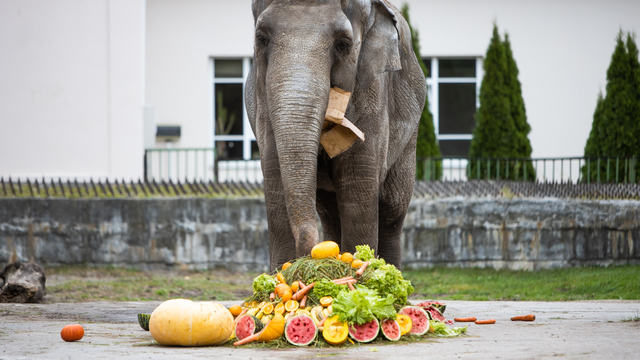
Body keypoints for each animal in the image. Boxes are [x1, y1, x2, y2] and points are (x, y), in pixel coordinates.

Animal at [245, 0, 424, 270]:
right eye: (261, 38)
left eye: (343, 45)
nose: (307, 254)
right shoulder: (262, 102)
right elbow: (275, 180)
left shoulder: (372, 94)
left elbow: (357, 191)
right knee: (330, 211)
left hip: (410, 136)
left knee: (391, 210)